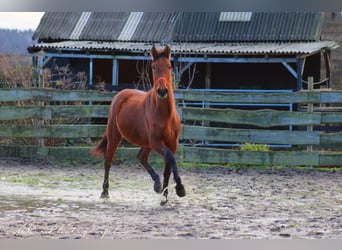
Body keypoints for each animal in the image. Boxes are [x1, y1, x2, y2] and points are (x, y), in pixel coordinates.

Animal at [91, 45, 186, 205]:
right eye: (153, 67)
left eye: (169, 66)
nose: (162, 91)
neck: (165, 115)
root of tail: (120, 94)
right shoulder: (156, 142)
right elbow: (171, 159)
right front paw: (180, 189)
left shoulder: (172, 143)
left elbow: (168, 168)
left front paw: (165, 197)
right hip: (115, 135)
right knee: (108, 160)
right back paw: (105, 192)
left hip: (146, 143)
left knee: (141, 157)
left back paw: (157, 184)